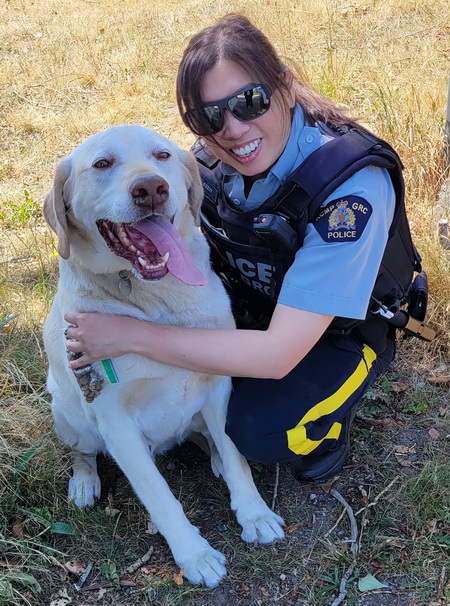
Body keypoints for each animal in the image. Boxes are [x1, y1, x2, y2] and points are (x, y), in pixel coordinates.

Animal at [44, 127, 284, 588]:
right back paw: (83, 481)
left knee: (208, 438)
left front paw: (254, 513)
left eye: (162, 156)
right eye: (102, 164)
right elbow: (159, 495)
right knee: (83, 451)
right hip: (66, 411)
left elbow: (236, 454)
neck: (155, 298)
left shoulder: (219, 383)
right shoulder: (115, 421)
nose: (151, 188)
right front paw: (195, 555)